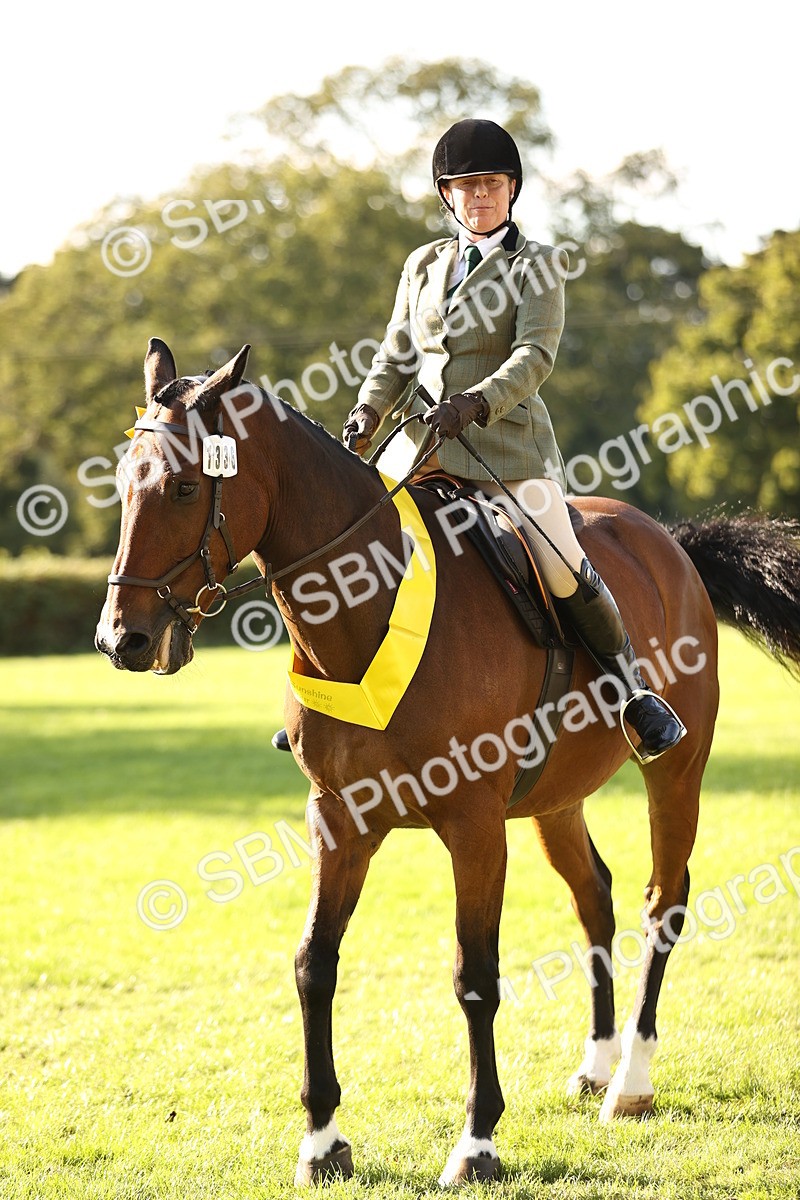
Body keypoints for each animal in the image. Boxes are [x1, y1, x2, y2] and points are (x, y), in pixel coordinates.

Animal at [96, 338, 800, 1187]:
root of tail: (668, 539)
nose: (121, 640)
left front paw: (477, 1143)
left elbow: (475, 976)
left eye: (183, 485)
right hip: (556, 798)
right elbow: (314, 965)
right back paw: (597, 1064)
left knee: (662, 901)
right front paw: (323, 1142)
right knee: (593, 897)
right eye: (123, 484)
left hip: (677, 770)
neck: (364, 612)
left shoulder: (473, 826)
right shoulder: (338, 820)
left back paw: (630, 1082)